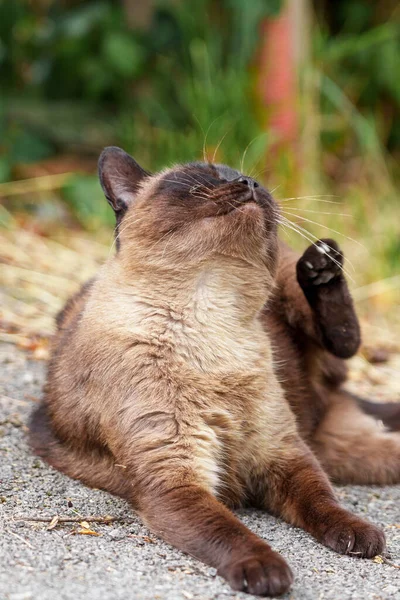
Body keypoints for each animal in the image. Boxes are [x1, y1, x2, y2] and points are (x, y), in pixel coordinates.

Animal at [29, 149, 398, 596]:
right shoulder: (177, 478)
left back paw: (322, 263)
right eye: (200, 179)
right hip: (346, 451)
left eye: (248, 178)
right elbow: (231, 531)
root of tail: (327, 408)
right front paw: (267, 573)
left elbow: (324, 502)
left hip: (291, 286)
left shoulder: (284, 453)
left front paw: (361, 536)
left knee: (345, 338)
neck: (210, 317)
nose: (249, 183)